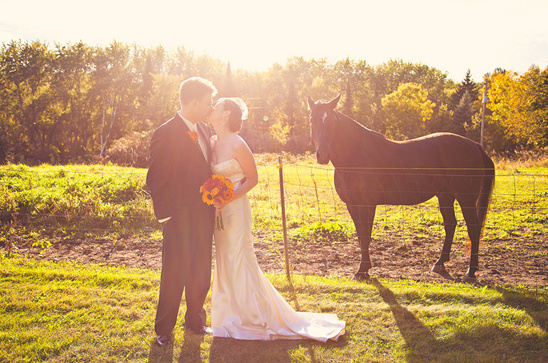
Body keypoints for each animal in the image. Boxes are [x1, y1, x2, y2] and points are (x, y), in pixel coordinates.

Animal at [308, 95, 496, 282]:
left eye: (332, 121)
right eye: (312, 119)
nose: (323, 155)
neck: (356, 156)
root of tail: (476, 146)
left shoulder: (367, 204)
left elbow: (366, 236)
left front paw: (362, 270)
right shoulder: (352, 205)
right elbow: (361, 236)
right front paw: (364, 269)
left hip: (466, 198)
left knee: (473, 229)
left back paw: (470, 272)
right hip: (445, 196)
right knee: (451, 225)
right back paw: (440, 263)